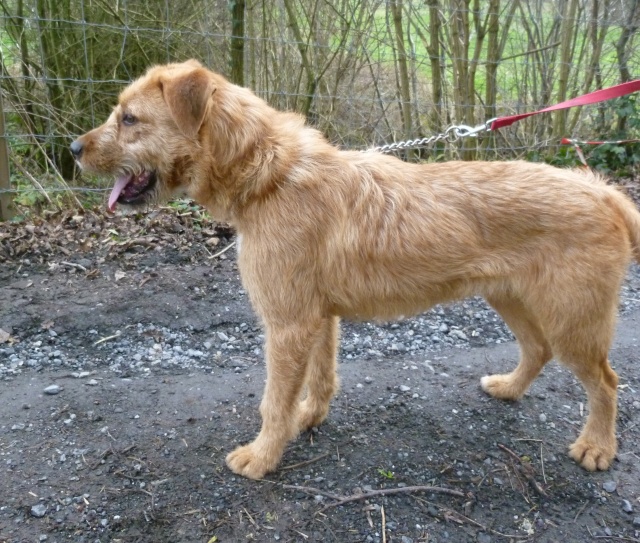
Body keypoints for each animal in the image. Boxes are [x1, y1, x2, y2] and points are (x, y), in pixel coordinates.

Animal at [70, 60, 640, 480]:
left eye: (129, 118)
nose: (73, 149)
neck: (269, 173)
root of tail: (604, 192)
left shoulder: (288, 324)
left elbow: (272, 401)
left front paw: (262, 457)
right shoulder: (319, 318)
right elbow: (320, 379)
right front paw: (308, 419)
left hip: (574, 319)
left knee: (606, 382)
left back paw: (597, 447)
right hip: (512, 297)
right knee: (538, 349)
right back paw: (509, 388)